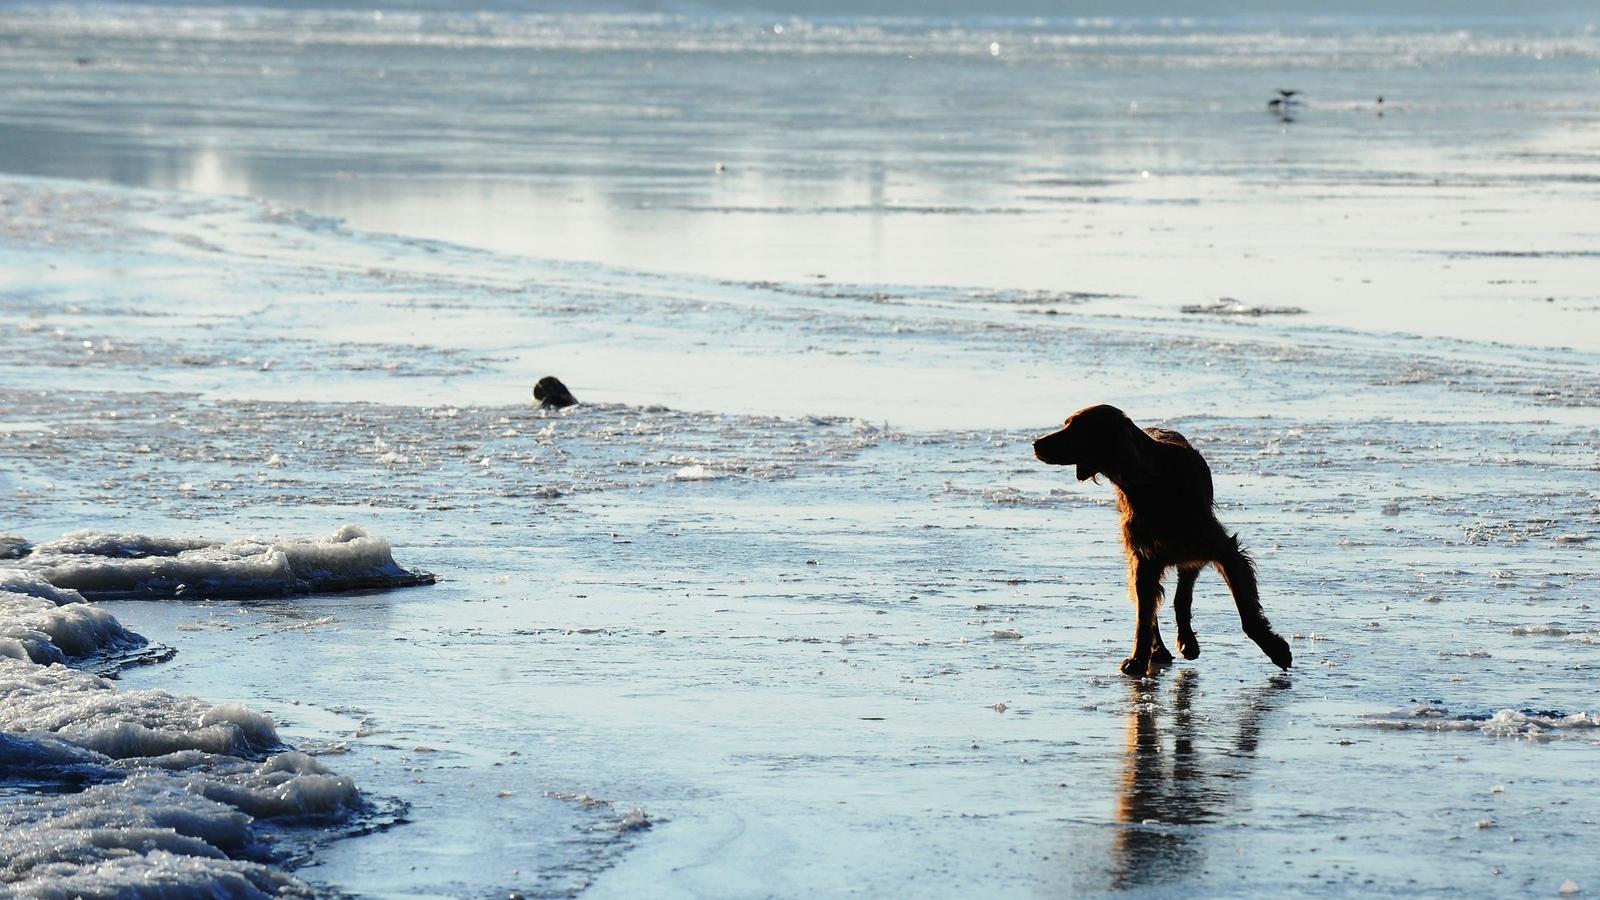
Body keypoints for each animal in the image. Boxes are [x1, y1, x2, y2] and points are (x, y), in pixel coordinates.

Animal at [1030, 405, 1292, 672]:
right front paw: (1138, 658)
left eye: (1077, 428)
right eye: (1066, 424)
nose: (1035, 443)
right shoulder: (1145, 558)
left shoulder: (1222, 550)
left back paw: (1187, 640)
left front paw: (1275, 649)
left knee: (1182, 597)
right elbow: (1144, 617)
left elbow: (1246, 613)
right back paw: (1160, 649)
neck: (1150, 485)